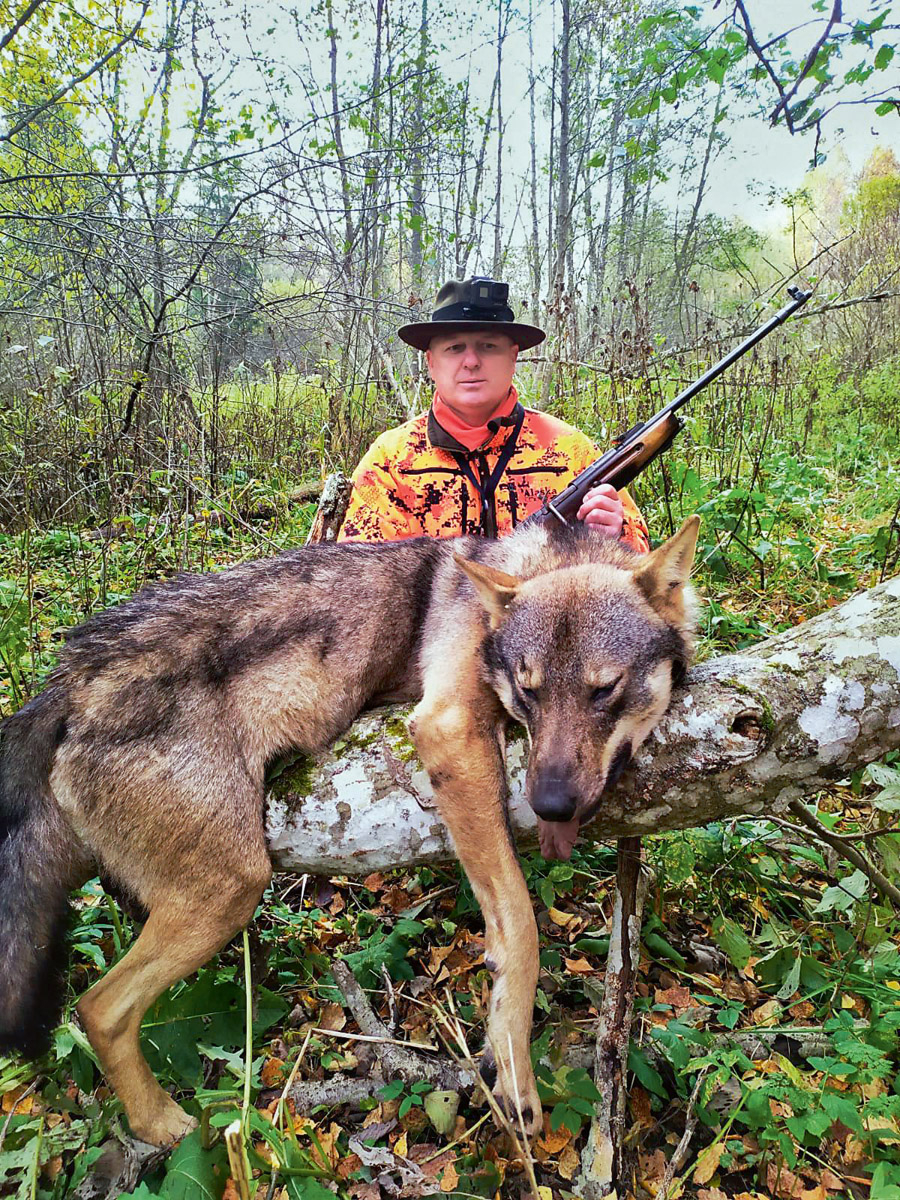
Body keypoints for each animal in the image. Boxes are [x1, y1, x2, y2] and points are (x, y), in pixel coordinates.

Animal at [0, 513, 700, 1142]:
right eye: (528, 693)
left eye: (604, 690)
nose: (551, 805)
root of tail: (64, 687)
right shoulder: (450, 730)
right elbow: (521, 930)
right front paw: (514, 1074)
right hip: (226, 895)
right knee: (98, 1008)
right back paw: (162, 1125)